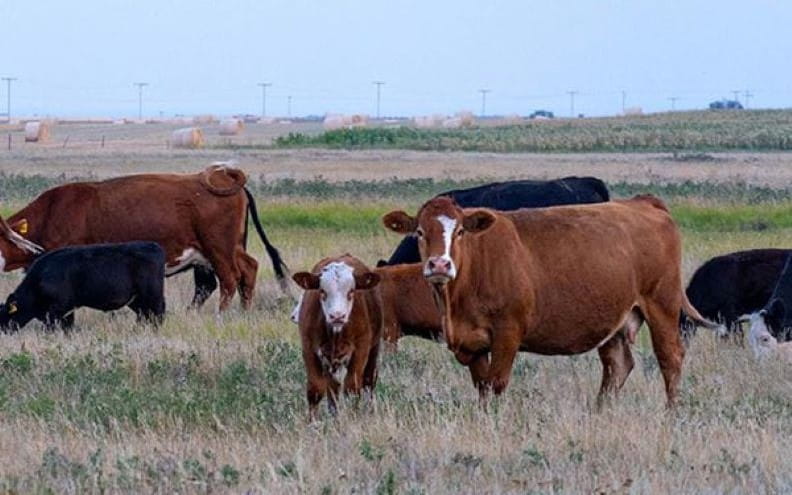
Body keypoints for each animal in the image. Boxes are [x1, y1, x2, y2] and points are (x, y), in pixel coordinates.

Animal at [0, 165, 287, 311]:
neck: (53, 211)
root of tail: (225, 176)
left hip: (220, 249)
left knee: (230, 279)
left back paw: (222, 315)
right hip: (222, 250)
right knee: (243, 272)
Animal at [0, 241, 166, 331]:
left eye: (6, 314)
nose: (3, 331)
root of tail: (154, 246)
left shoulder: (58, 310)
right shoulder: (65, 310)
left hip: (152, 296)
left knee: (157, 313)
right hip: (136, 300)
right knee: (145, 315)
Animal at [292, 255, 382, 420]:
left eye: (351, 291)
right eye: (322, 291)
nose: (337, 316)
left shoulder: (361, 349)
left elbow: (352, 387)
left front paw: (354, 417)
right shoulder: (308, 349)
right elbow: (315, 389)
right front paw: (313, 422)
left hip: (374, 349)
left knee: (368, 381)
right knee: (332, 388)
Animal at [382, 195, 718, 407]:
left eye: (461, 231)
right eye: (419, 232)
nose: (439, 265)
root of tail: (643, 202)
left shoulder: (507, 333)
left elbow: (496, 383)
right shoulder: (472, 344)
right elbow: (482, 388)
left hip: (662, 304)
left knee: (670, 359)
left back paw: (671, 412)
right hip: (616, 319)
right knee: (617, 366)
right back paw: (600, 411)